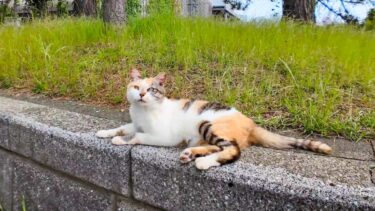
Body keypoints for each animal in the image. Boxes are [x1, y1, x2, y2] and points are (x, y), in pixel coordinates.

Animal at [96, 69, 332, 170]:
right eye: (136, 87)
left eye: (152, 89)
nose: (142, 94)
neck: (142, 111)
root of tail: (251, 122)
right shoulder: (134, 122)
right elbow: (122, 127)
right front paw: (105, 132)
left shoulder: (163, 136)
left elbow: (137, 136)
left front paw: (120, 141)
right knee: (218, 146)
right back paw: (190, 154)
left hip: (206, 123)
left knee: (232, 149)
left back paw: (203, 162)